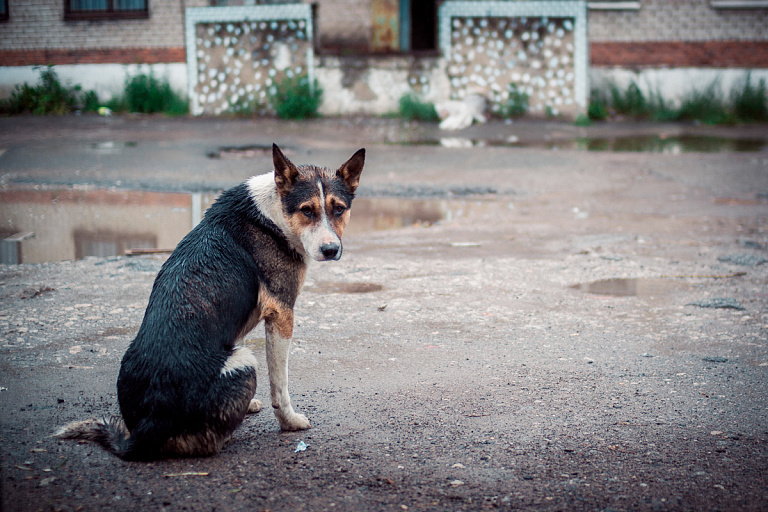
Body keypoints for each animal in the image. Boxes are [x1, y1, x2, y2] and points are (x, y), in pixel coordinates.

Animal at [54, 144, 366, 460]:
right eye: (307, 211)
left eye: (339, 209)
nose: (331, 250)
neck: (273, 214)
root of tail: (146, 429)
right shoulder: (281, 314)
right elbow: (280, 384)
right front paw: (289, 422)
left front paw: (249, 405)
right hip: (245, 361)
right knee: (210, 444)